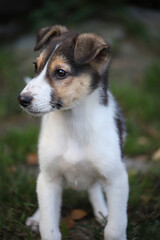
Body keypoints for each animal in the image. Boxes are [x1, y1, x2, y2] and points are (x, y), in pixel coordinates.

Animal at [18, 24, 129, 240]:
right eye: (36, 66)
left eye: (61, 72)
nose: (22, 100)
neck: (73, 124)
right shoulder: (49, 179)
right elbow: (49, 226)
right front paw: (41, 221)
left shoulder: (117, 179)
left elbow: (115, 228)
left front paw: (109, 223)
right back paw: (36, 217)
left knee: (94, 188)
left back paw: (102, 212)